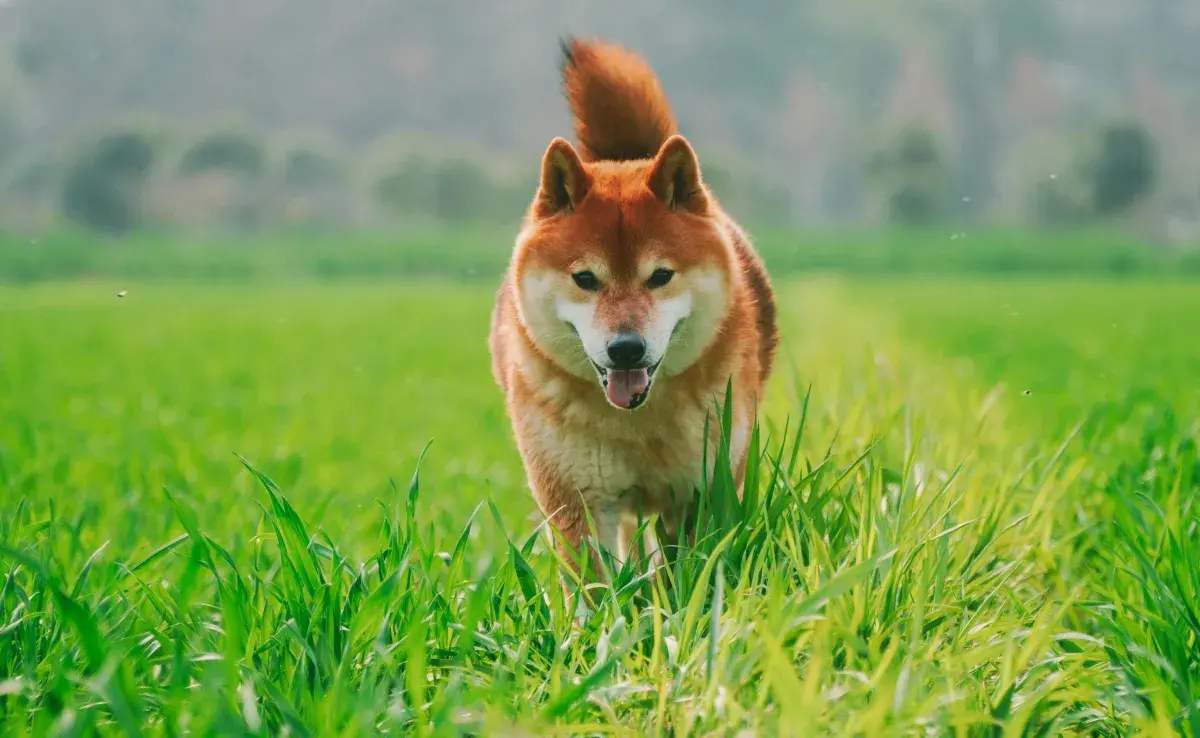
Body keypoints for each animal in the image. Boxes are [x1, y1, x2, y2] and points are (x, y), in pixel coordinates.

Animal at [487, 34, 777, 578]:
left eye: (660, 276)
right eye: (585, 279)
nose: (625, 349)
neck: (637, 425)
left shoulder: (702, 491)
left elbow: (688, 572)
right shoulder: (577, 499)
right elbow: (597, 585)